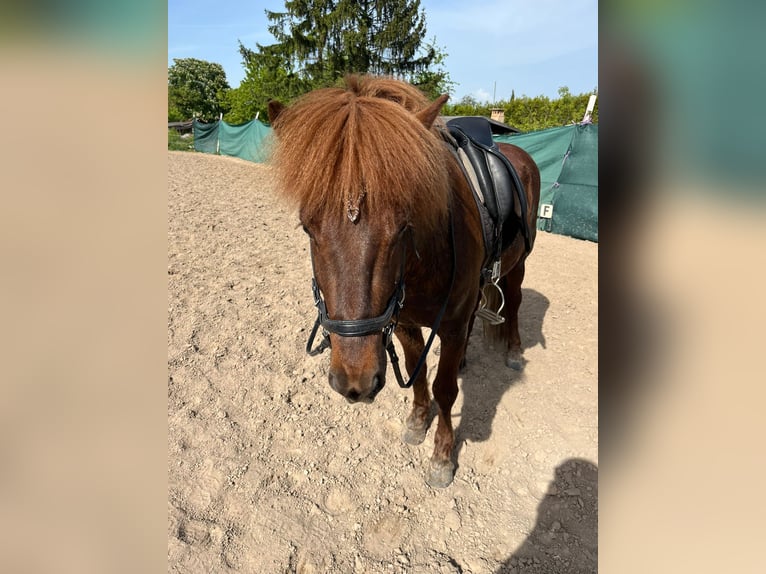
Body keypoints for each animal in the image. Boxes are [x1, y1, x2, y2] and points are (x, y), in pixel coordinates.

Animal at [267, 75, 540, 488]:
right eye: (306, 227)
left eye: (403, 226)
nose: (355, 381)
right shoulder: (404, 323)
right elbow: (420, 372)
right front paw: (416, 422)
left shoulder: (452, 323)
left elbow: (446, 389)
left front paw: (442, 456)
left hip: (517, 267)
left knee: (515, 302)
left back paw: (512, 351)